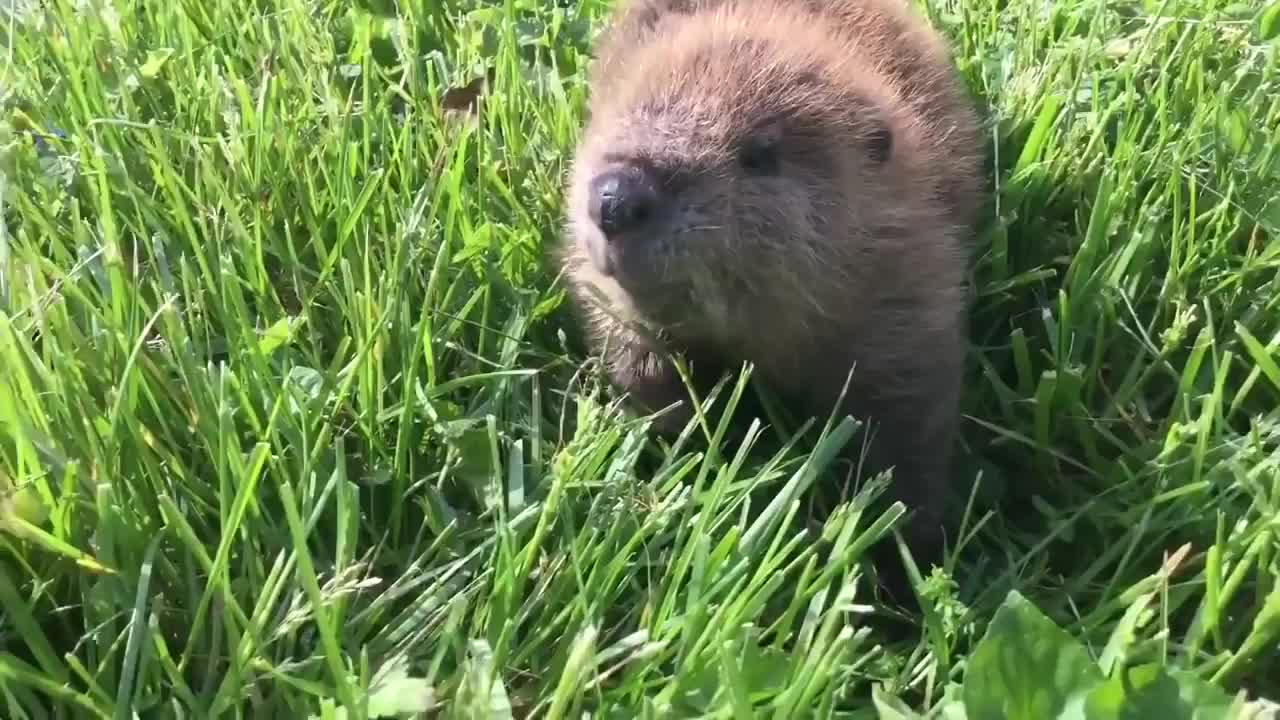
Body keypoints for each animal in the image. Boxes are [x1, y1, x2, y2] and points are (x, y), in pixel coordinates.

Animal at [555, 0, 983, 591]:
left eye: (759, 153)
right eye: (637, 105)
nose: (616, 199)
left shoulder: (908, 285)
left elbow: (907, 423)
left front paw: (901, 567)